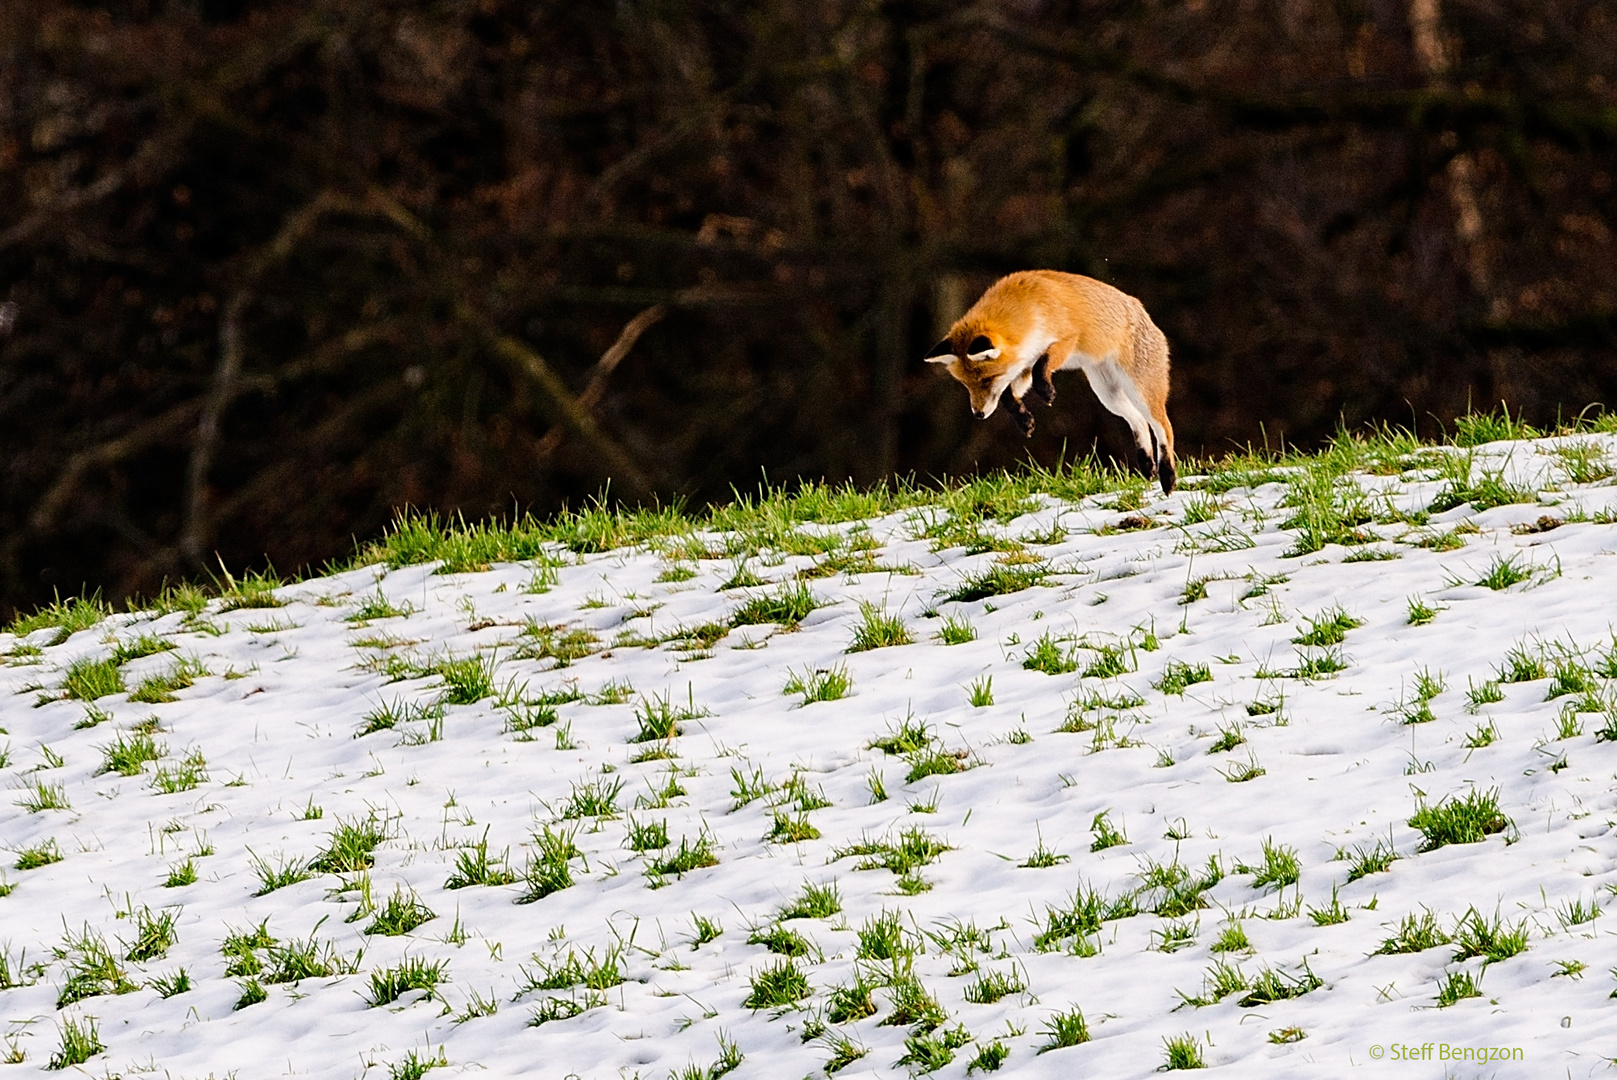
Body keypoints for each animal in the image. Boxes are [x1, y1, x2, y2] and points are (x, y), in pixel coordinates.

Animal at [931, 268, 1183, 494]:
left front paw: (1046, 392)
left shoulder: (1065, 340)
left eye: (986, 380)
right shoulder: (1024, 364)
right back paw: (1147, 465)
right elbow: (1009, 395)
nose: (978, 414)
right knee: (1139, 421)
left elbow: (1042, 368)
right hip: (1108, 395)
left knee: (1164, 427)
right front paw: (1024, 419)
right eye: (967, 385)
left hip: (1140, 391)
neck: (1029, 309)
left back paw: (1167, 476)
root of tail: (1140, 307)